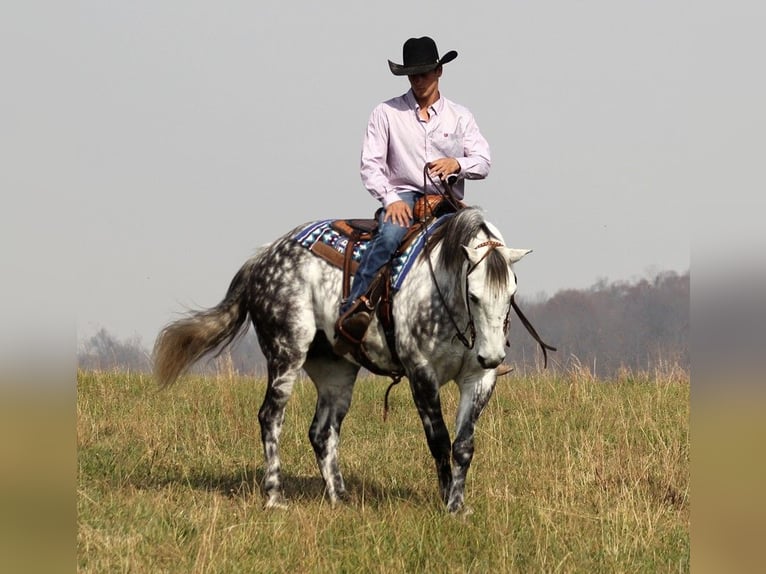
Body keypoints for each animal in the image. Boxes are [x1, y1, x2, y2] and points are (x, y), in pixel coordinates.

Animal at [153, 206, 548, 512]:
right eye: (474, 294)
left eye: (511, 290)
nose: (492, 355)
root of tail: (261, 258)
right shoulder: (421, 373)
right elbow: (438, 439)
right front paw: (446, 500)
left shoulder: (479, 379)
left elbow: (463, 446)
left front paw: (459, 505)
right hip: (286, 353)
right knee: (271, 418)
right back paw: (275, 496)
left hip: (336, 370)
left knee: (322, 432)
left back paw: (339, 497)